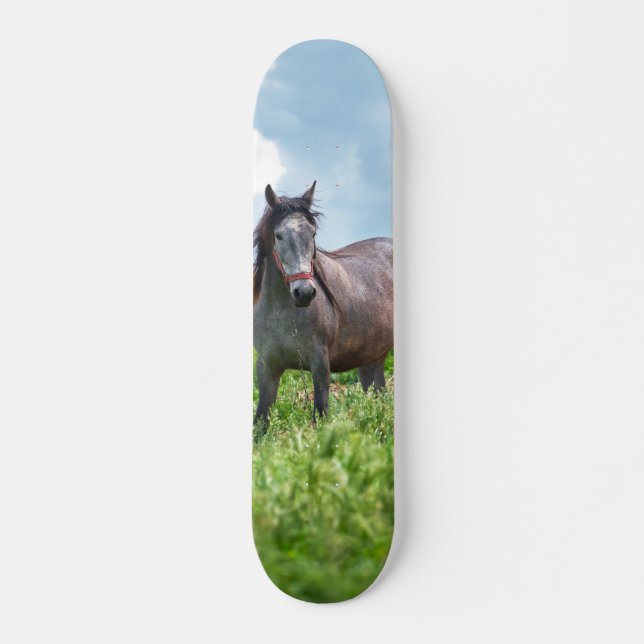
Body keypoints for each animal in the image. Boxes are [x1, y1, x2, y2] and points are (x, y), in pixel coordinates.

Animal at [253, 181, 393, 428]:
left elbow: (320, 414)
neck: (281, 315)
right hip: (372, 361)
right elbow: (260, 423)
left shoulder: (320, 364)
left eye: (313, 233)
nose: (304, 293)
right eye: (279, 236)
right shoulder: (267, 367)